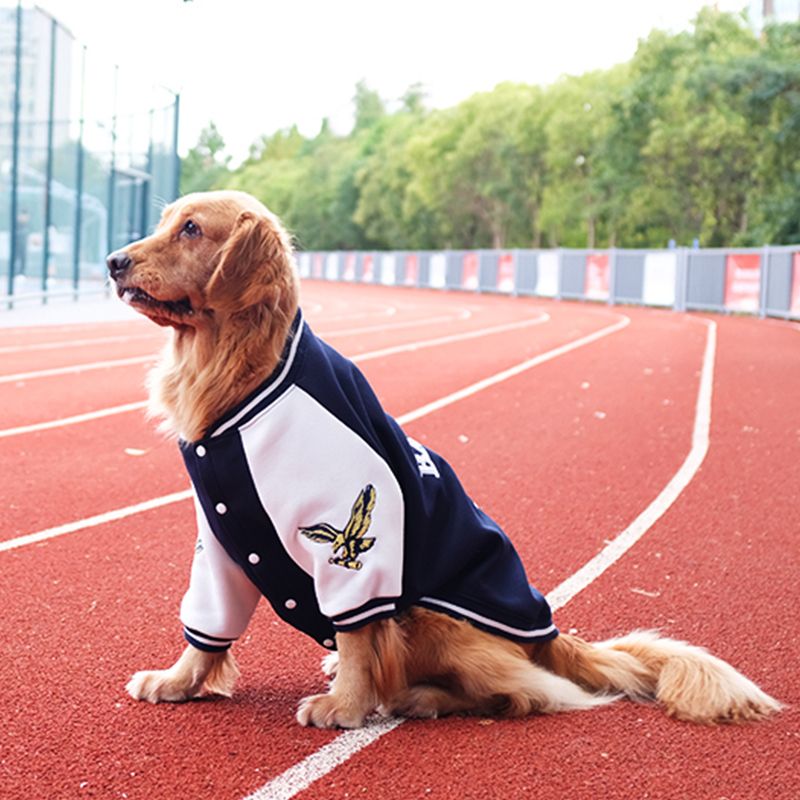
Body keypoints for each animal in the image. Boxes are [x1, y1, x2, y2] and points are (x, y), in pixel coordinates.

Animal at [108, 191, 780, 728]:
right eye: (167, 221)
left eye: (192, 229)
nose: (114, 261)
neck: (238, 373)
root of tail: (551, 632)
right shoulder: (223, 539)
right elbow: (208, 628)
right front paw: (178, 681)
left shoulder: (355, 542)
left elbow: (359, 631)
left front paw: (346, 706)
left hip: (433, 614)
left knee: (527, 692)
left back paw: (420, 697)